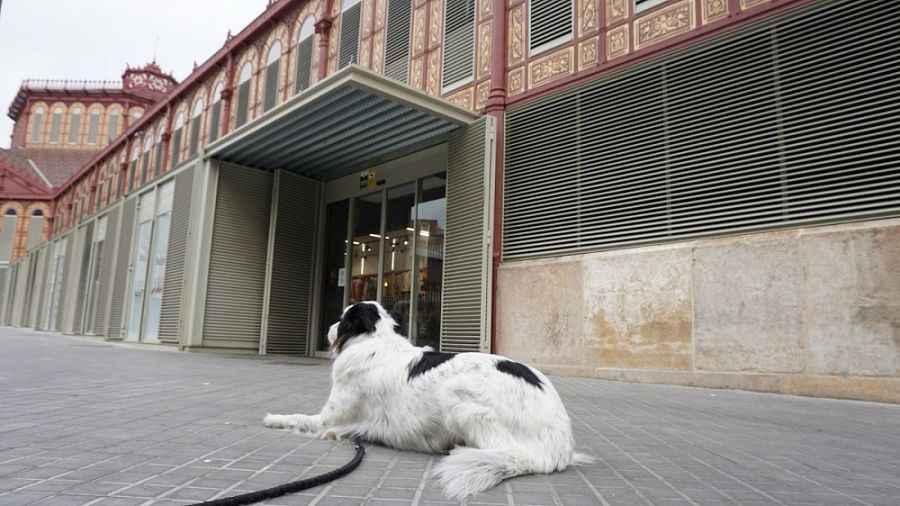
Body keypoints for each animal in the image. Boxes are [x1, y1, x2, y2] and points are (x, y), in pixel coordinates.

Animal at [264, 300, 596, 498]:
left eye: (342, 317)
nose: (329, 328)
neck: (375, 341)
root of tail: (556, 451)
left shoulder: (328, 420)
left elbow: (297, 418)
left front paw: (272, 418)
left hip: (456, 392)